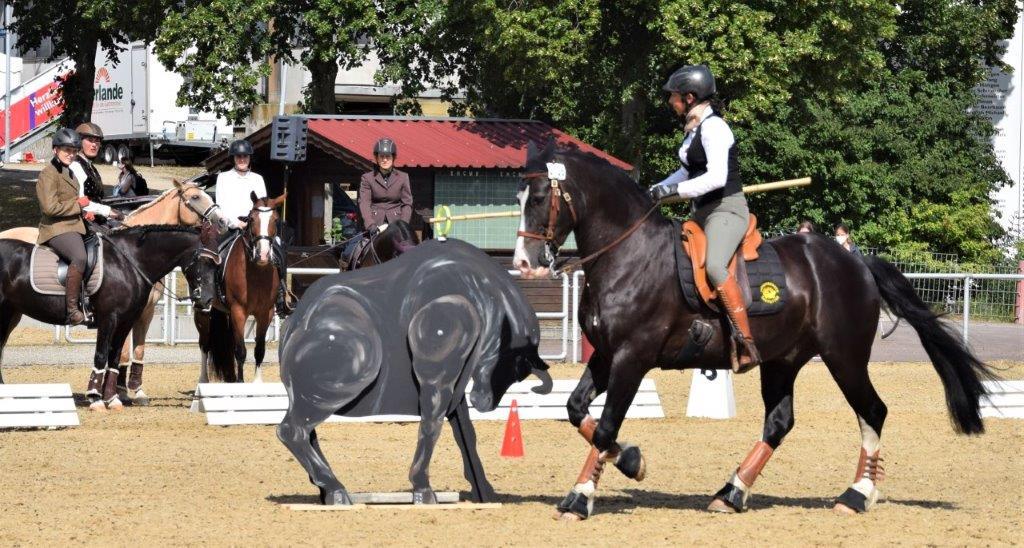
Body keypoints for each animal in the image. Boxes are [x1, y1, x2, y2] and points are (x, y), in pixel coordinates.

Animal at [0, 180, 227, 405]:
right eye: (196, 197)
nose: (223, 221)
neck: (129, 259)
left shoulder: (141, 313)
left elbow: (130, 352)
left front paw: (130, 392)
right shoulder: (110, 317)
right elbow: (112, 354)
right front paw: (109, 394)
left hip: (12, 313)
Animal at [276, 238, 553, 505]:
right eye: (513, 362)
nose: (484, 403)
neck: (478, 292)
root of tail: (297, 320)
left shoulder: (455, 390)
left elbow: (466, 435)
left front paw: (484, 489)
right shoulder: (437, 375)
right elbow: (431, 427)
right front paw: (422, 488)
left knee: (307, 434)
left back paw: (327, 489)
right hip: (351, 367)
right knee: (291, 431)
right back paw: (336, 489)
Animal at [511, 141, 995, 519]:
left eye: (539, 197)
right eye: (519, 197)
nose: (523, 263)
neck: (629, 253)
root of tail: (856, 262)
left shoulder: (633, 357)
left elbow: (607, 425)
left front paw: (583, 495)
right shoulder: (607, 354)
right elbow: (576, 409)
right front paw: (632, 461)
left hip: (844, 357)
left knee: (872, 411)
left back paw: (857, 494)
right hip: (782, 362)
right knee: (779, 422)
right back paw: (732, 491)